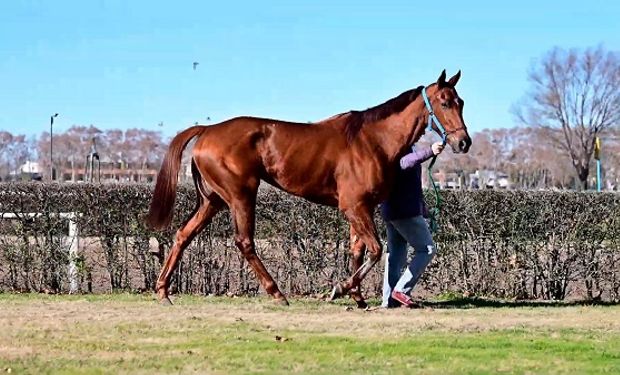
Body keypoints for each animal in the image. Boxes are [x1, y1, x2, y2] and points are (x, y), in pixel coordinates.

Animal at [148, 69, 472, 306]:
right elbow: (376, 250)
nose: (463, 142)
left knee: (183, 234)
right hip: (241, 195)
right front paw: (341, 288)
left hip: (212, 200)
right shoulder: (354, 206)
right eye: (445, 102)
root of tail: (207, 130)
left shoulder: (361, 208)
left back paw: (163, 290)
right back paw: (277, 293)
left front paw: (357, 297)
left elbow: (357, 250)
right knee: (244, 242)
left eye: (461, 102)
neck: (372, 141)